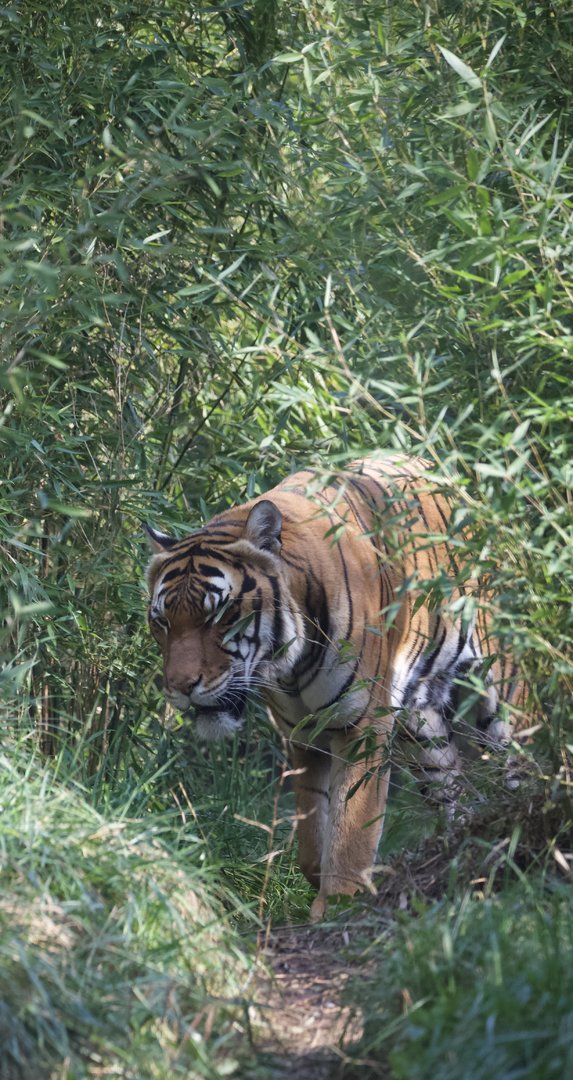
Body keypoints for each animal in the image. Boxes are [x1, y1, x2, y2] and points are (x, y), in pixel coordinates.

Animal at [145, 454, 524, 921]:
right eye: (162, 621)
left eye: (218, 615)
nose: (179, 686)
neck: (287, 666)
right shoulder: (303, 735)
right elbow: (312, 827)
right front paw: (320, 880)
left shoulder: (362, 727)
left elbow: (351, 825)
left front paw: (340, 900)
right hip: (422, 729)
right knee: (454, 786)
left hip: (500, 690)